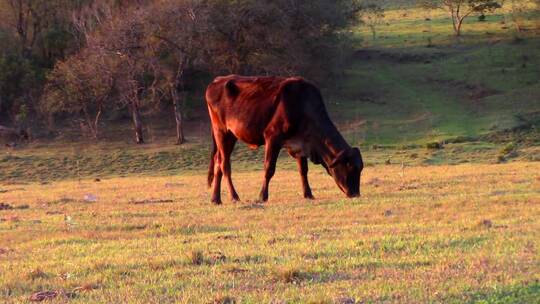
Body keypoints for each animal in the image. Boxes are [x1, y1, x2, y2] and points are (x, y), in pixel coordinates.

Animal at [206, 75, 362, 205]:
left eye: (360, 168)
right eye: (350, 167)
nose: (355, 194)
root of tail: (217, 80)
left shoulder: (300, 145)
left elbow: (303, 170)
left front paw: (308, 194)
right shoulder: (272, 137)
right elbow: (269, 168)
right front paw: (262, 196)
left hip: (230, 136)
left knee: (218, 162)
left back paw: (216, 199)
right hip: (222, 132)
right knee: (225, 165)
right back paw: (234, 196)